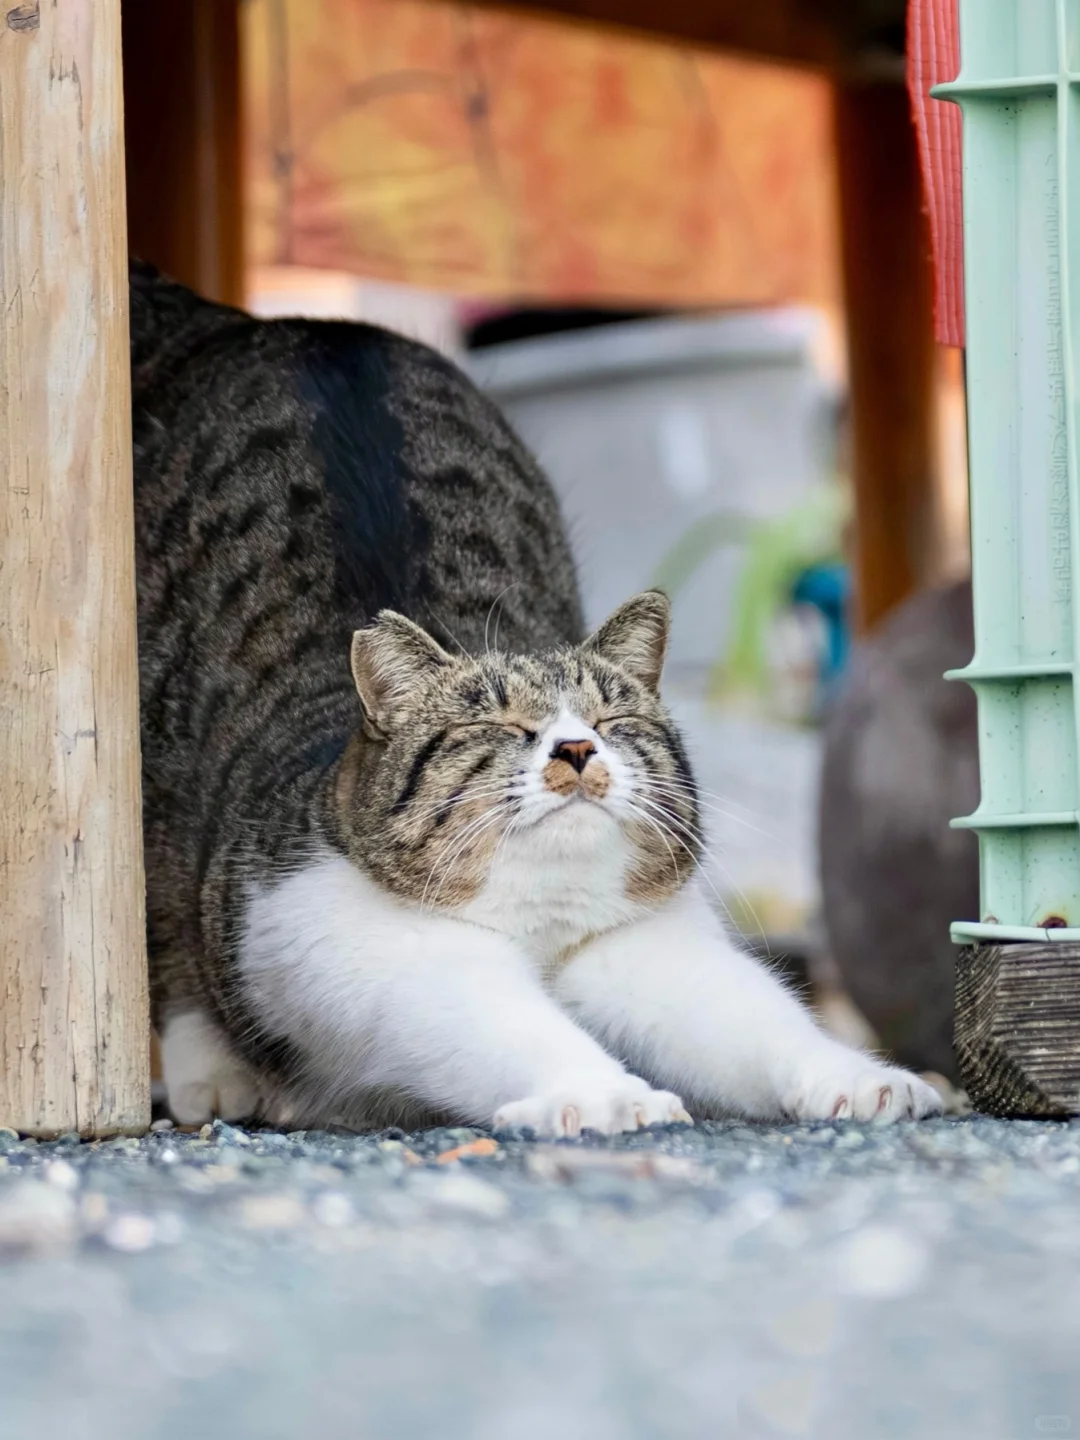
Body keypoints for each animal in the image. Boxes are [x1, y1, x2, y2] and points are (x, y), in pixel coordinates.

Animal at [131, 262, 938, 1134]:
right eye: (503, 724)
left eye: (610, 719)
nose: (576, 748)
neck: (540, 923)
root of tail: (252, 322)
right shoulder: (377, 947)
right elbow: (511, 1027)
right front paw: (609, 1095)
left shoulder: (644, 945)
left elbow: (755, 1019)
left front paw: (860, 1078)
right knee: (167, 944)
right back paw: (213, 1075)